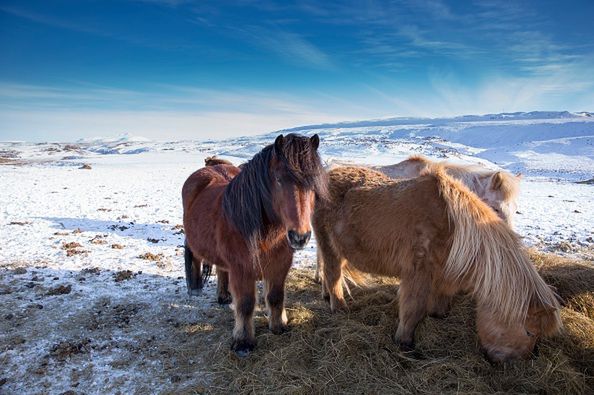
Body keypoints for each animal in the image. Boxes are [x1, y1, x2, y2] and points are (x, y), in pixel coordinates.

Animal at [182, 135, 324, 358]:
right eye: (278, 179)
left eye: (313, 182)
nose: (300, 237)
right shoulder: (242, 270)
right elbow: (246, 304)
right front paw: (243, 342)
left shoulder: (280, 265)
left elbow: (275, 297)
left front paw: (278, 326)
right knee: (195, 256)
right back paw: (195, 287)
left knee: (221, 269)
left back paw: (223, 296)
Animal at [314, 166, 560, 364]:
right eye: (529, 332)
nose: (513, 364)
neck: (456, 230)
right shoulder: (417, 273)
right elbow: (413, 310)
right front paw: (404, 344)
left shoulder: (444, 276)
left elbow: (440, 304)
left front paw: (437, 317)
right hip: (328, 245)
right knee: (332, 274)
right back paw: (339, 308)